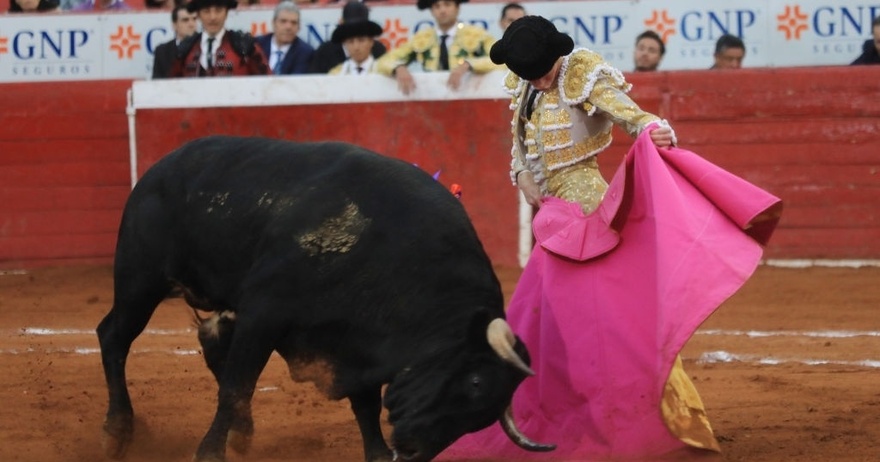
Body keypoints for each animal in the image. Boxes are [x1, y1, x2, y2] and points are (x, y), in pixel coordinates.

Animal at [94, 137, 552, 462]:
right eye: (475, 382)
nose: (414, 451)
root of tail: (161, 168)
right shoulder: (263, 312)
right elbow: (238, 386)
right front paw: (208, 453)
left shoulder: (353, 344)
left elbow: (365, 406)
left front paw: (378, 455)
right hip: (139, 280)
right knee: (113, 336)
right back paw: (117, 432)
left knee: (210, 341)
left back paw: (239, 432)